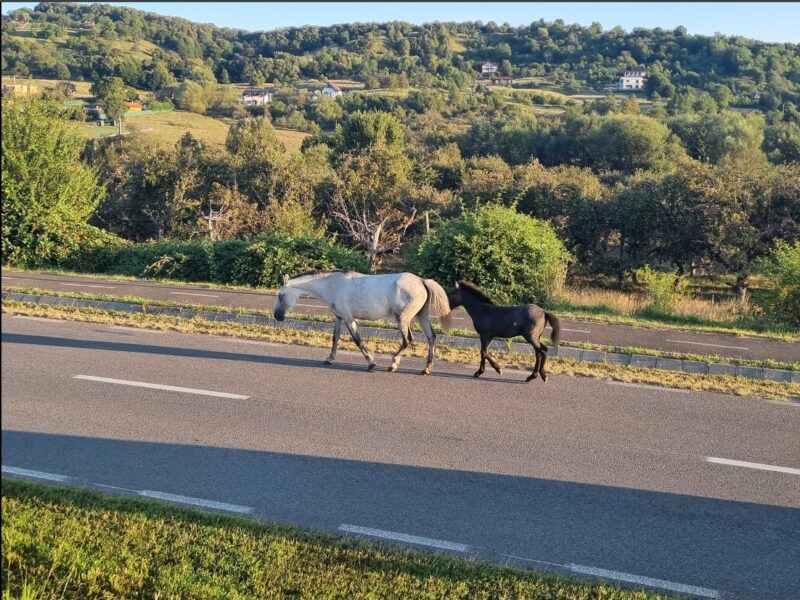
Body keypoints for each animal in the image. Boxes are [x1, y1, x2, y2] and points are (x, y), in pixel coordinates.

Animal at [274, 272, 450, 376]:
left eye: (281, 295)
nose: (277, 316)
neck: (332, 285)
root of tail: (422, 281)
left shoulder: (348, 318)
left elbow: (357, 340)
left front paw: (371, 362)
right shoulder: (339, 317)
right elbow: (335, 339)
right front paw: (329, 359)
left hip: (402, 319)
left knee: (408, 340)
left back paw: (393, 364)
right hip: (421, 316)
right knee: (431, 337)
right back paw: (426, 368)